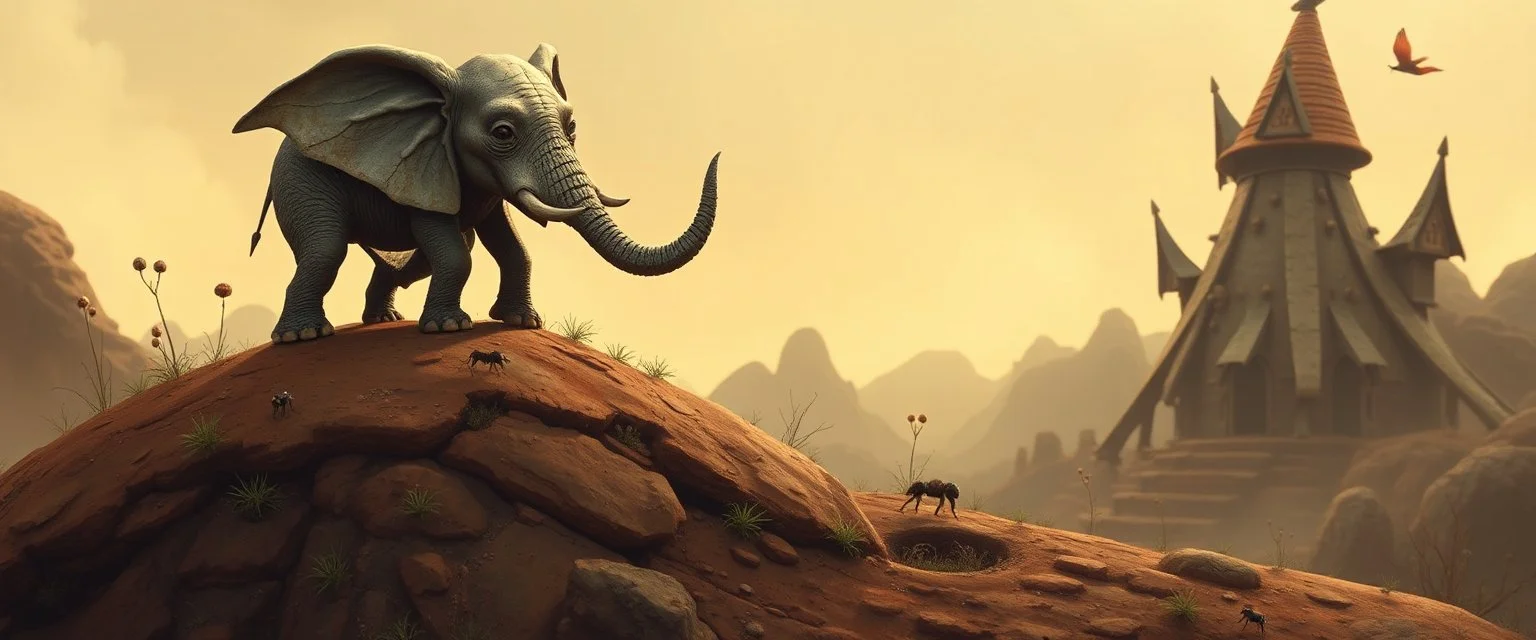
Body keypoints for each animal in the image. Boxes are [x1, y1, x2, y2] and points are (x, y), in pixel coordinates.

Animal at [233, 43, 721, 343]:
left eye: (573, 127)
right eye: (502, 133)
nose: (717, 156)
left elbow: (509, 244)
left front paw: (523, 322)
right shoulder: (429, 171)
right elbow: (452, 249)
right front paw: (449, 329)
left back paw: (383, 321)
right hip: (300, 180)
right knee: (326, 249)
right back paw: (302, 337)